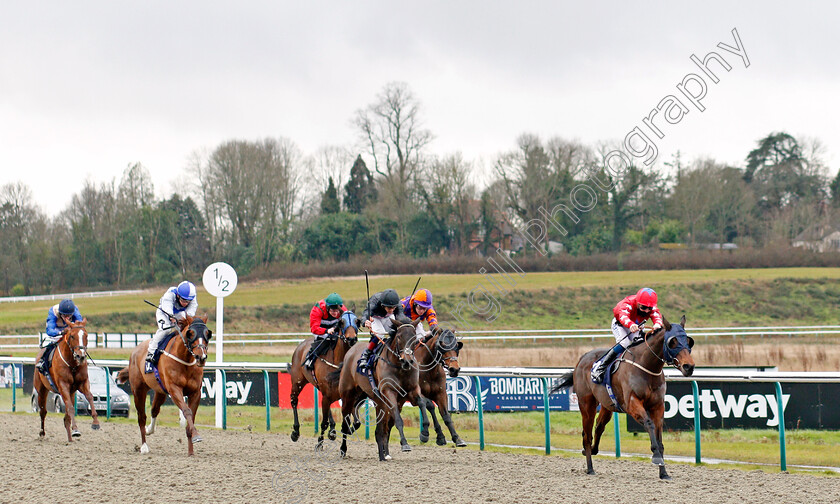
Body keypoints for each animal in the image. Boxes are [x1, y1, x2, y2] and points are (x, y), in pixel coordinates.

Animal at [116, 316, 212, 456]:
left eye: (208, 334)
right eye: (190, 333)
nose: (201, 357)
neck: (185, 361)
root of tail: (135, 350)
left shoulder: (195, 392)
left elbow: (191, 417)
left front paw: (191, 450)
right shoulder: (174, 389)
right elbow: (187, 411)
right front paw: (196, 436)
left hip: (160, 391)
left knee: (154, 409)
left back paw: (149, 429)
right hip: (138, 390)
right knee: (141, 417)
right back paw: (144, 446)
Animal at [288, 310, 358, 446]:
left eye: (357, 321)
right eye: (341, 322)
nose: (352, 339)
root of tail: (300, 345)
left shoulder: (346, 395)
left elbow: (356, 422)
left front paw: (344, 431)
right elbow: (324, 422)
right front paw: (320, 443)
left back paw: (332, 430)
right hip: (297, 381)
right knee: (294, 400)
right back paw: (295, 432)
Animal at [334, 318, 424, 460]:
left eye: (414, 337)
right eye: (399, 337)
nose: (407, 361)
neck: (399, 367)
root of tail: (350, 352)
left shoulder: (412, 391)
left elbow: (422, 404)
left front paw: (425, 433)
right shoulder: (389, 392)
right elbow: (397, 419)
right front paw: (404, 444)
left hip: (370, 397)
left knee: (375, 426)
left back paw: (383, 455)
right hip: (347, 395)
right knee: (345, 421)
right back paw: (343, 449)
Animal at [552, 316, 696, 480]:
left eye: (688, 341)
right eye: (673, 342)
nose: (689, 366)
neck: (646, 366)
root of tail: (581, 359)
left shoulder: (658, 406)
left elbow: (659, 433)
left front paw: (664, 472)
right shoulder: (632, 403)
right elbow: (649, 424)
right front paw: (656, 457)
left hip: (607, 405)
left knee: (599, 426)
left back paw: (592, 451)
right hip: (586, 404)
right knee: (587, 435)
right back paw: (590, 468)